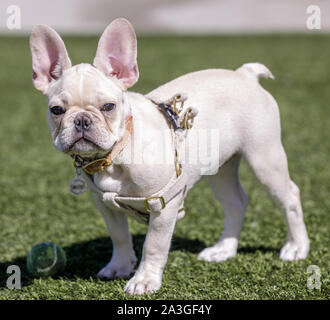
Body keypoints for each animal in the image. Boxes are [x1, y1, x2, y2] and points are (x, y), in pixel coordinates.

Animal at [30, 16, 310, 292]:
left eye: (108, 106)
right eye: (56, 110)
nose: (81, 121)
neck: (115, 155)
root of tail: (245, 75)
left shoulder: (163, 203)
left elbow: (153, 245)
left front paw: (144, 280)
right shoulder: (105, 204)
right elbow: (119, 237)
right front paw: (119, 266)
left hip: (264, 158)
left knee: (290, 195)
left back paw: (296, 247)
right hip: (220, 169)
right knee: (236, 202)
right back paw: (223, 249)